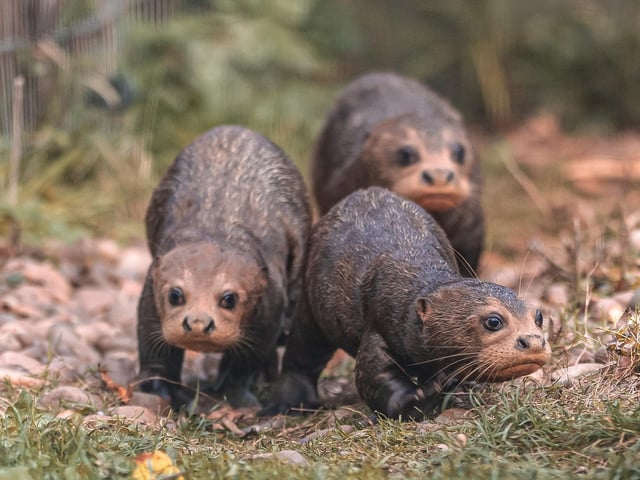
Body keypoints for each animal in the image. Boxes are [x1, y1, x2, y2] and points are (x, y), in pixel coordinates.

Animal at [137, 125, 311, 408]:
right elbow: (154, 350)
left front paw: (233, 392)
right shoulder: (150, 295)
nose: (198, 322)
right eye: (176, 295)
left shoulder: (270, 308)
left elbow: (248, 360)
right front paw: (157, 388)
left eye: (229, 298)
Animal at [262, 187, 549, 420]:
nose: (534, 342)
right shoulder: (380, 321)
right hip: (310, 308)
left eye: (539, 317)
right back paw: (290, 404)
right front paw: (421, 397)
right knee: (302, 351)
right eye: (493, 321)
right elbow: (375, 376)